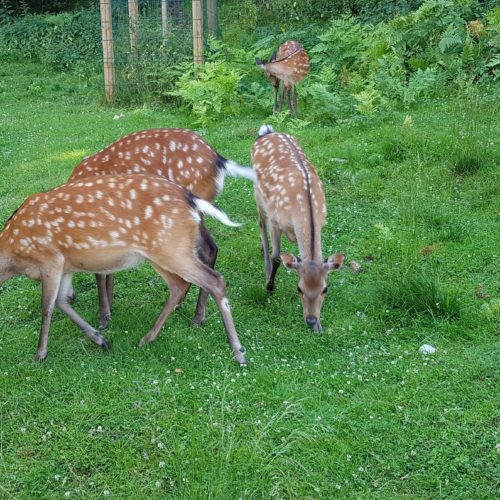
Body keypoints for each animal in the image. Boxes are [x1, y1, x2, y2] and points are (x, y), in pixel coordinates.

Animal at [0, 174, 248, 366]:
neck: (12, 255)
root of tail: (191, 199)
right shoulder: (66, 265)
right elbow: (62, 301)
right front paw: (101, 339)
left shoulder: (49, 258)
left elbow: (47, 307)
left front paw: (39, 354)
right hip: (162, 251)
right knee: (179, 285)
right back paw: (148, 338)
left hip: (171, 248)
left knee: (215, 280)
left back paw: (238, 352)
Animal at [68, 129, 256, 330]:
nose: (71, 296)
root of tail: (219, 160)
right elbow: (110, 269)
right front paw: (110, 308)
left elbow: (100, 272)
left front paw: (103, 318)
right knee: (209, 250)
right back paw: (185, 307)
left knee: (206, 250)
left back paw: (196, 316)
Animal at [250, 126, 344, 332]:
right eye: (299, 288)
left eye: (325, 288)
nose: (311, 319)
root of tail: (267, 132)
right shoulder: (275, 221)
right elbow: (277, 257)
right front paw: (269, 287)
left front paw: (319, 326)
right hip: (257, 192)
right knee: (261, 223)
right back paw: (265, 263)